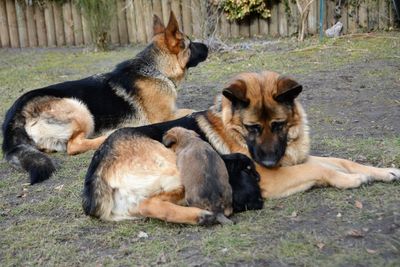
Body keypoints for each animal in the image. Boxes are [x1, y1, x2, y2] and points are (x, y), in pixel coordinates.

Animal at [3, 12, 208, 184]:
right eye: (190, 44)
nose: (208, 46)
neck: (155, 70)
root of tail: (16, 110)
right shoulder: (164, 116)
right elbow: (192, 110)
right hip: (80, 109)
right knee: (74, 145)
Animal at [83, 70, 398, 225]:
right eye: (252, 128)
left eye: (278, 125)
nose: (267, 163)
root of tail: (98, 169)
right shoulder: (273, 178)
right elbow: (322, 168)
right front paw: (352, 180)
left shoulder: (295, 161)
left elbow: (340, 160)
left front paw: (385, 171)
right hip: (176, 168)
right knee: (149, 203)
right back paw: (200, 216)